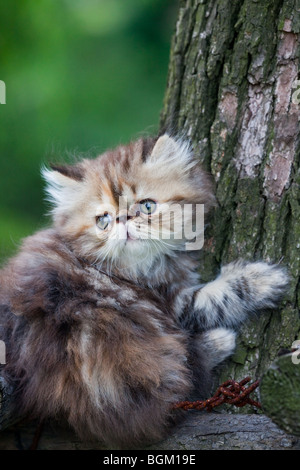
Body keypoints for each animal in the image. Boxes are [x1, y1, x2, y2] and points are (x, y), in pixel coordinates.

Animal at [0, 135, 288, 448]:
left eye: (147, 206)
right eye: (103, 220)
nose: (123, 220)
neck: (142, 267)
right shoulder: (171, 303)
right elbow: (216, 297)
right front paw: (263, 280)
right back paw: (219, 341)